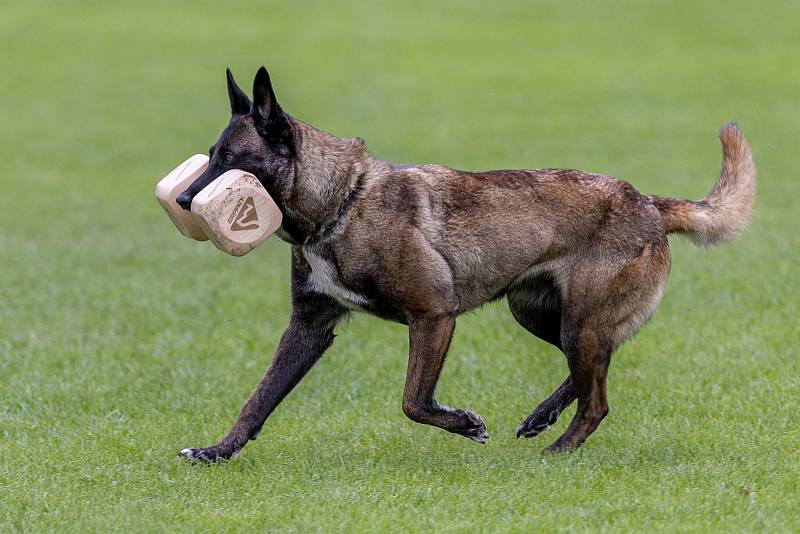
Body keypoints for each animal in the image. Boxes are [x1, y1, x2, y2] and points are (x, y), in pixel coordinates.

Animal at [175, 65, 756, 462]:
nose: (181, 200)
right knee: (595, 371)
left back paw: (555, 452)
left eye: (231, 161)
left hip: (578, 321)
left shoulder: (433, 315)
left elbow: (413, 401)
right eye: (212, 155)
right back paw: (542, 419)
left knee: (598, 400)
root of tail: (650, 203)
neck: (341, 202)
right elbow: (258, 400)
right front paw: (216, 452)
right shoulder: (309, 328)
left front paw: (465, 423)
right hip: (543, 315)